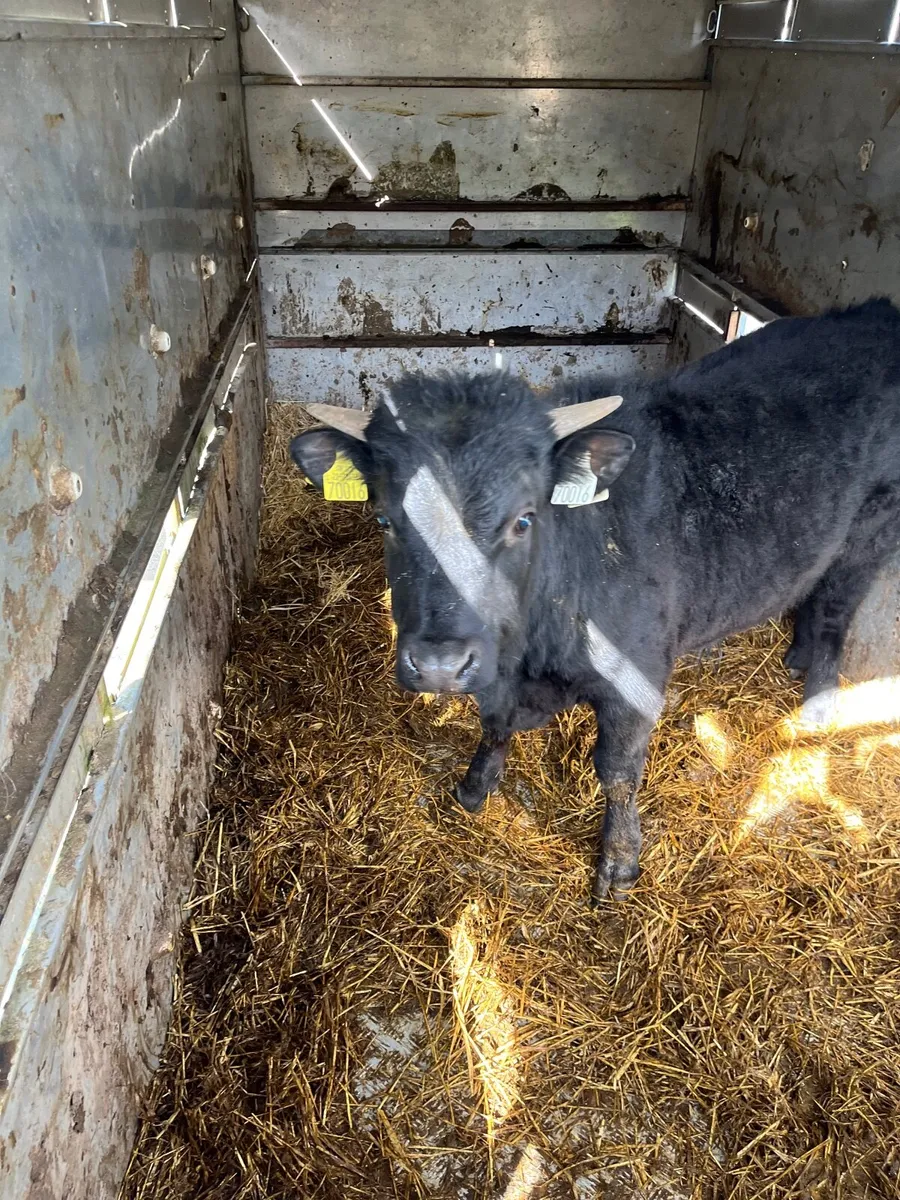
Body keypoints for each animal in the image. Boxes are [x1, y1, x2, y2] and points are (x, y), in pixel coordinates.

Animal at [289, 298, 900, 901]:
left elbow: (618, 772)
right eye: (385, 519)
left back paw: (817, 703)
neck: (535, 652)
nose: (441, 664)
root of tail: (875, 313)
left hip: (870, 535)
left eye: (524, 520)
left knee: (836, 613)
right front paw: (474, 787)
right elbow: (495, 724)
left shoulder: (636, 680)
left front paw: (620, 861)